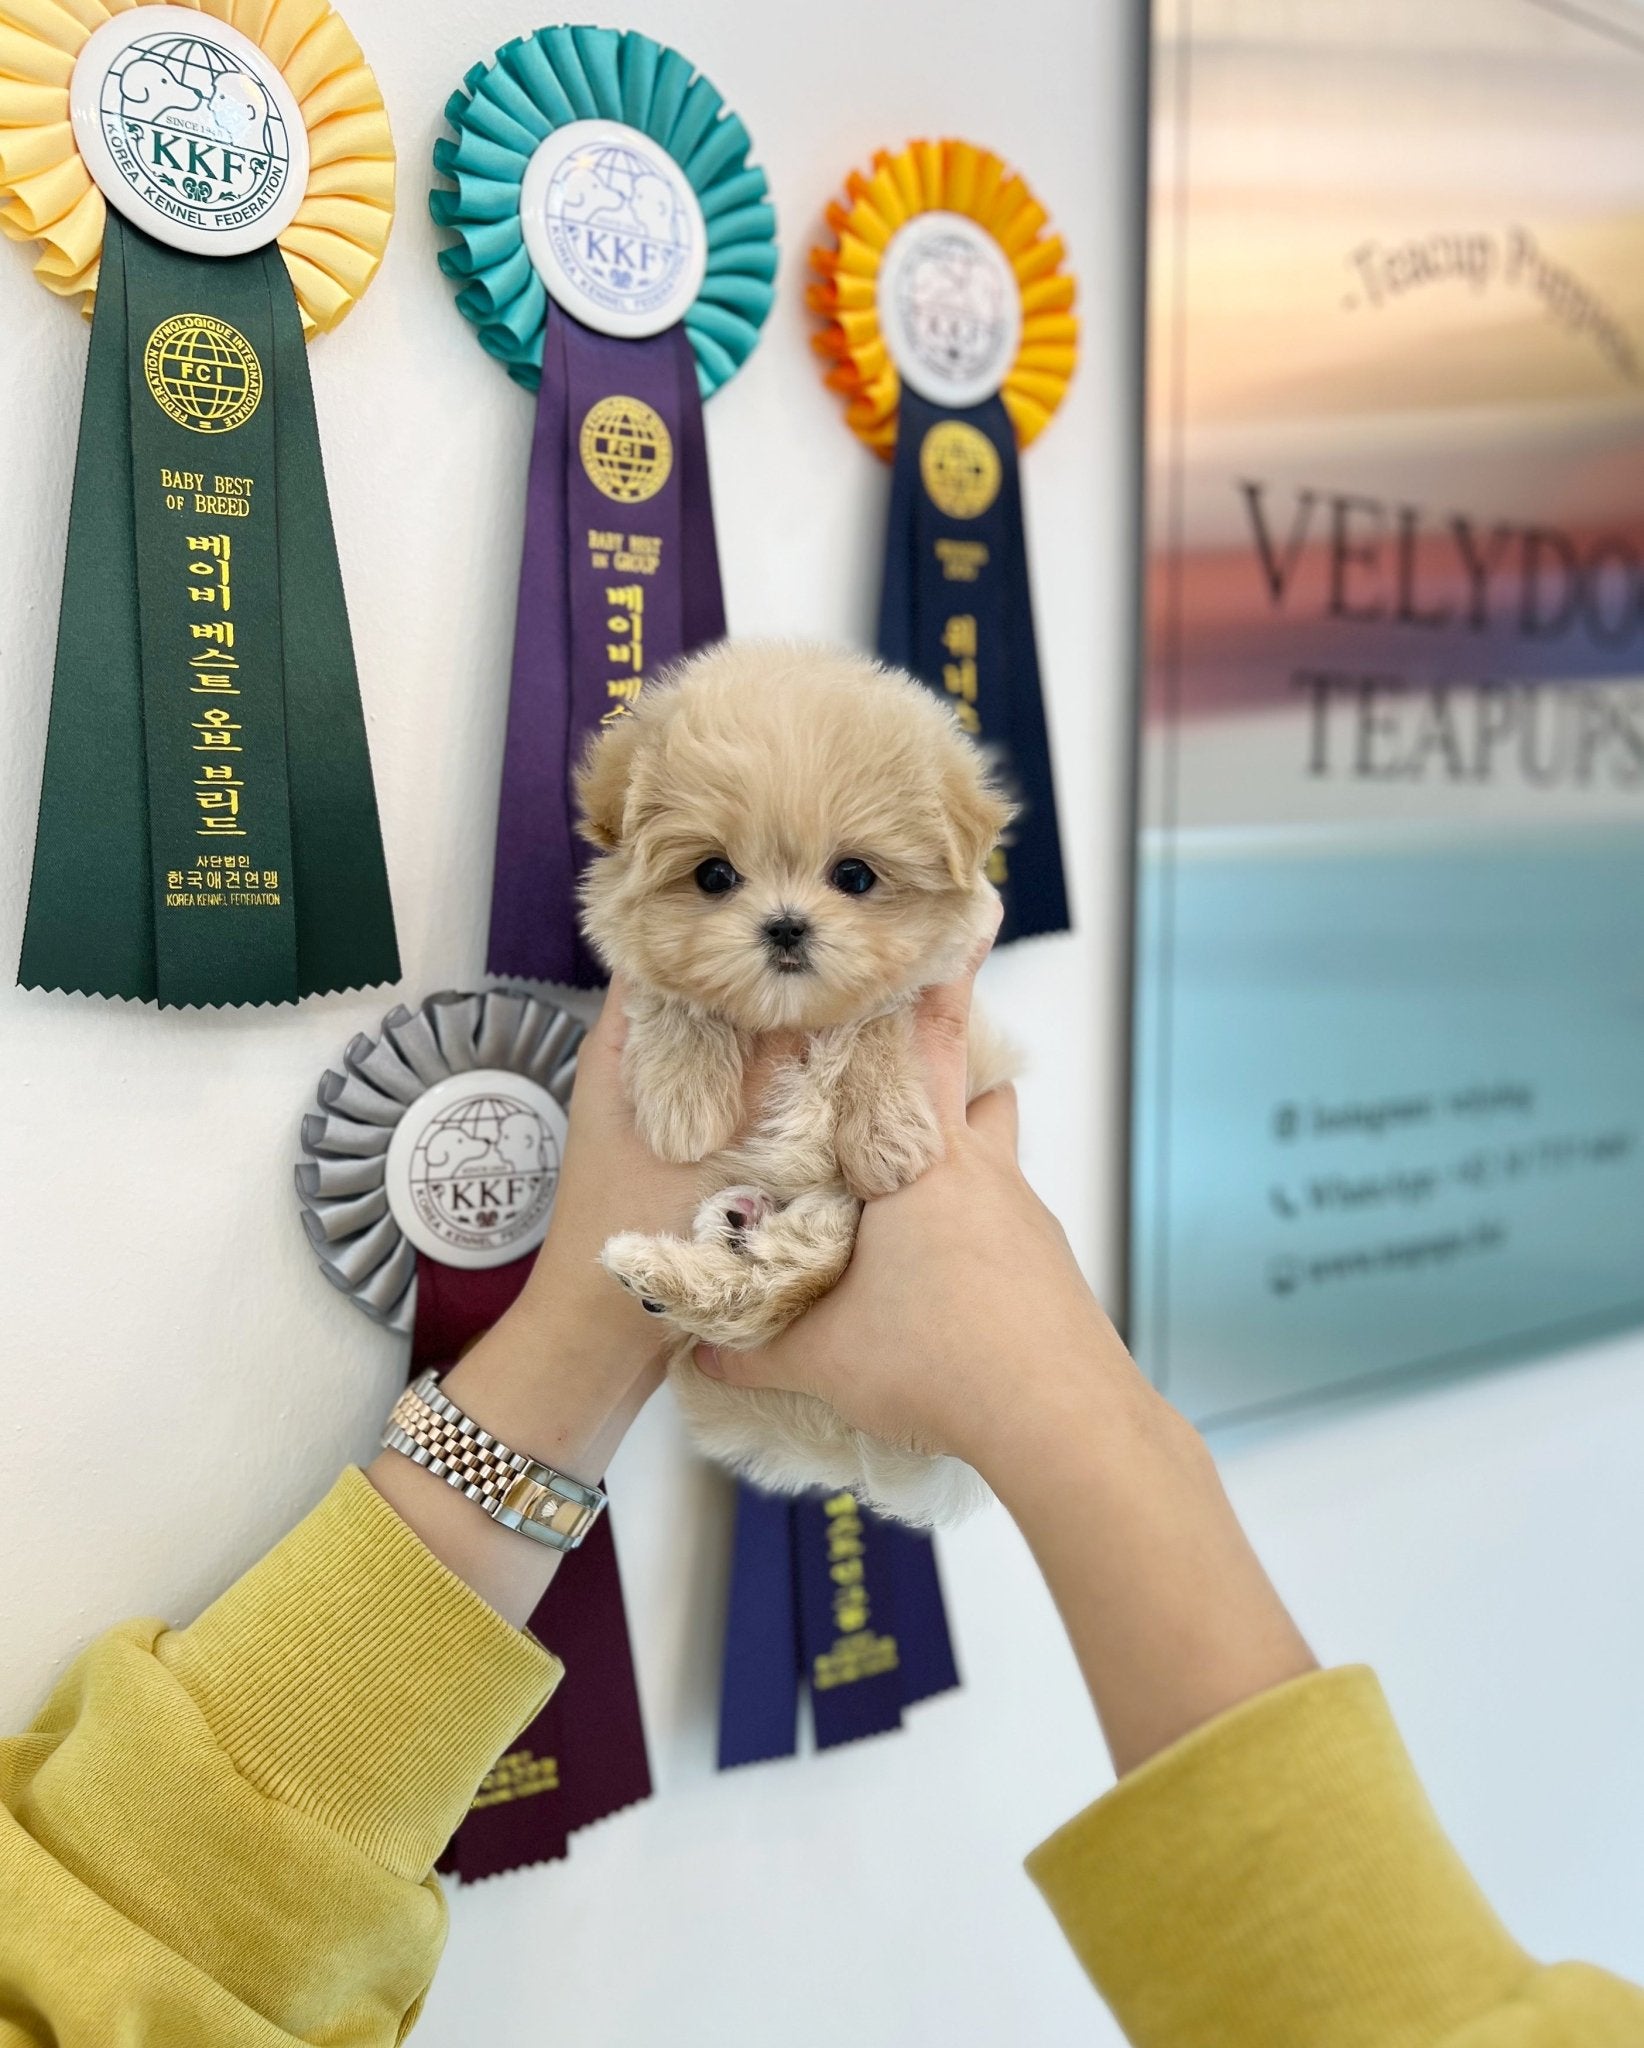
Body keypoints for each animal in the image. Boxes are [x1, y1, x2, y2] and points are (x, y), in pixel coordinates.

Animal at [577, 638, 1015, 1523]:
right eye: (713, 876)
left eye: (855, 877)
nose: (784, 926)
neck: (787, 1022)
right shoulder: (644, 980)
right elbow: (677, 997)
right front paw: (683, 1099)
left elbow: (879, 1020)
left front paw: (887, 1136)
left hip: (838, 1231)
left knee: (780, 1287)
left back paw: (700, 1253)